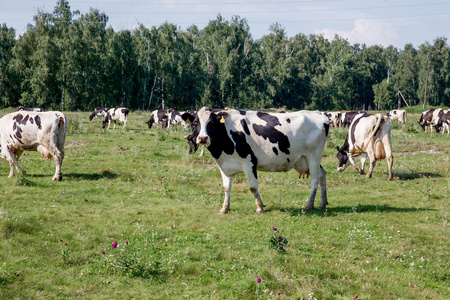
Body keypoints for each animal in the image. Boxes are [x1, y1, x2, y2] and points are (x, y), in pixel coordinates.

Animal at [192, 106, 328, 214]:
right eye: (195, 123)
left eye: (211, 122)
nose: (203, 138)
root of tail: (320, 114)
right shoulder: (224, 165)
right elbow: (226, 188)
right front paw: (224, 208)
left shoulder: (249, 161)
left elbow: (253, 187)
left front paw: (259, 208)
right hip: (306, 159)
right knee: (322, 174)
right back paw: (322, 203)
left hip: (313, 156)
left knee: (314, 180)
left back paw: (308, 206)